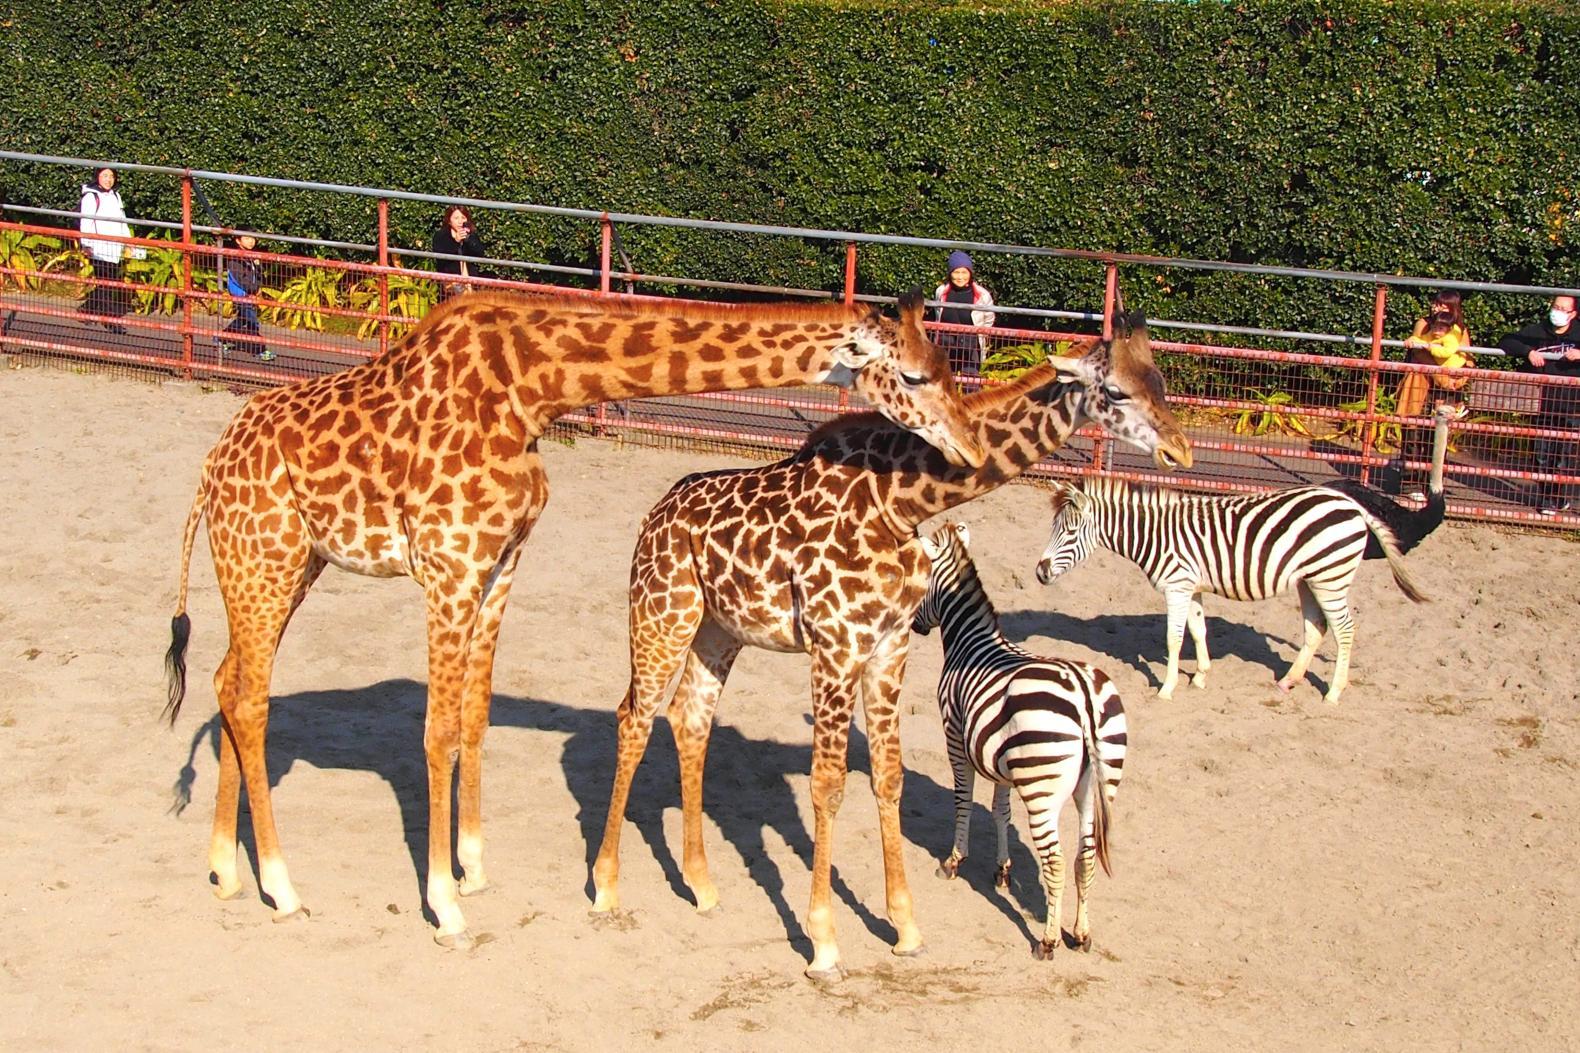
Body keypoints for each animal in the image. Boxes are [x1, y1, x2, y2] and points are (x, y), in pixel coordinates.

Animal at [166, 284, 985, 942]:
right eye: (914, 373)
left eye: (951, 366)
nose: (972, 449)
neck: (531, 387)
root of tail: (208, 468)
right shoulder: (448, 563)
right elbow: (435, 729)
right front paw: (445, 905)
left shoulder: (499, 563)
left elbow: (473, 714)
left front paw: (471, 867)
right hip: (265, 556)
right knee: (249, 693)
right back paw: (281, 885)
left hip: (284, 563)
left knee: (228, 680)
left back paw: (226, 870)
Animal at [910, 521, 1131, 954]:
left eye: (919, 581)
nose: (912, 626)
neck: (971, 642)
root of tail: (1083, 694)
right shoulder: (999, 760)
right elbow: (1000, 811)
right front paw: (1002, 871)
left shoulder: (955, 738)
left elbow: (963, 801)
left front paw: (954, 862)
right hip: (1099, 784)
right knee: (1085, 857)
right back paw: (1081, 934)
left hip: (1043, 788)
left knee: (1056, 861)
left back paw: (1048, 941)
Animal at [1030, 474, 1440, 705]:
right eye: (1053, 528)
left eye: (1070, 532)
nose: (1039, 573)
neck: (1155, 536)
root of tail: (1353, 504)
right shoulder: (1192, 586)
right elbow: (1198, 630)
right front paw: (1200, 676)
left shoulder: (1177, 586)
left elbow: (1174, 639)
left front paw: (1167, 688)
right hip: (1310, 579)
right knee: (1316, 629)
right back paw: (1288, 682)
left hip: (1330, 578)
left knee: (1345, 631)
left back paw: (1334, 693)